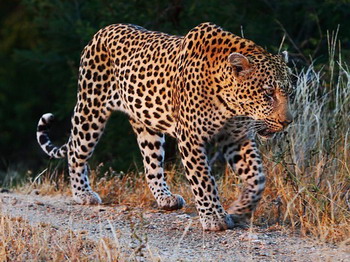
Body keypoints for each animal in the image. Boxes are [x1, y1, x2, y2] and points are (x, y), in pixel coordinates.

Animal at [36, 22, 292, 231]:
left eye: (288, 91)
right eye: (268, 94)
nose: (287, 121)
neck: (231, 103)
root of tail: (103, 30)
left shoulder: (237, 139)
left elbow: (257, 178)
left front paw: (240, 210)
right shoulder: (191, 138)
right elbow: (204, 180)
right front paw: (214, 218)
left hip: (147, 127)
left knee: (151, 166)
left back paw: (165, 199)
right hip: (91, 109)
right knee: (76, 152)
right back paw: (83, 194)